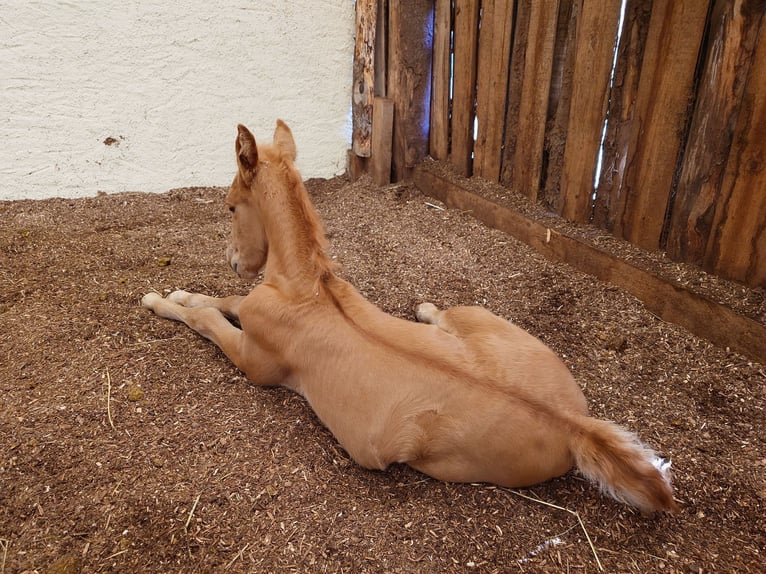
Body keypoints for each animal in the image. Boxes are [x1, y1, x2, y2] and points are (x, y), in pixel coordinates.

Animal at [142, 120, 677, 514]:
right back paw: (424, 309)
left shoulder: (255, 362)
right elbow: (225, 302)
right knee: (449, 316)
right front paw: (185, 291)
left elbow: (211, 321)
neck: (305, 289)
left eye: (231, 206)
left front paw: (159, 300)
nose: (235, 261)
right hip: (490, 322)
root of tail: (575, 425)